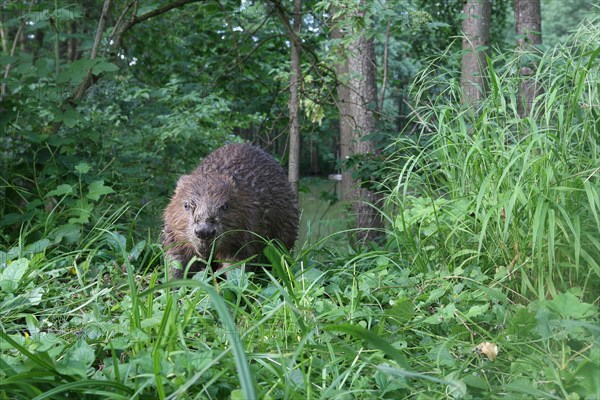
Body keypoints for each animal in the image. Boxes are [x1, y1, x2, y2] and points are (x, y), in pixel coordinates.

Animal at [162, 144, 300, 278]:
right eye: (186, 205)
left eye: (225, 206)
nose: (204, 232)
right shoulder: (171, 233)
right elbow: (176, 258)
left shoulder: (247, 228)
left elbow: (237, 262)